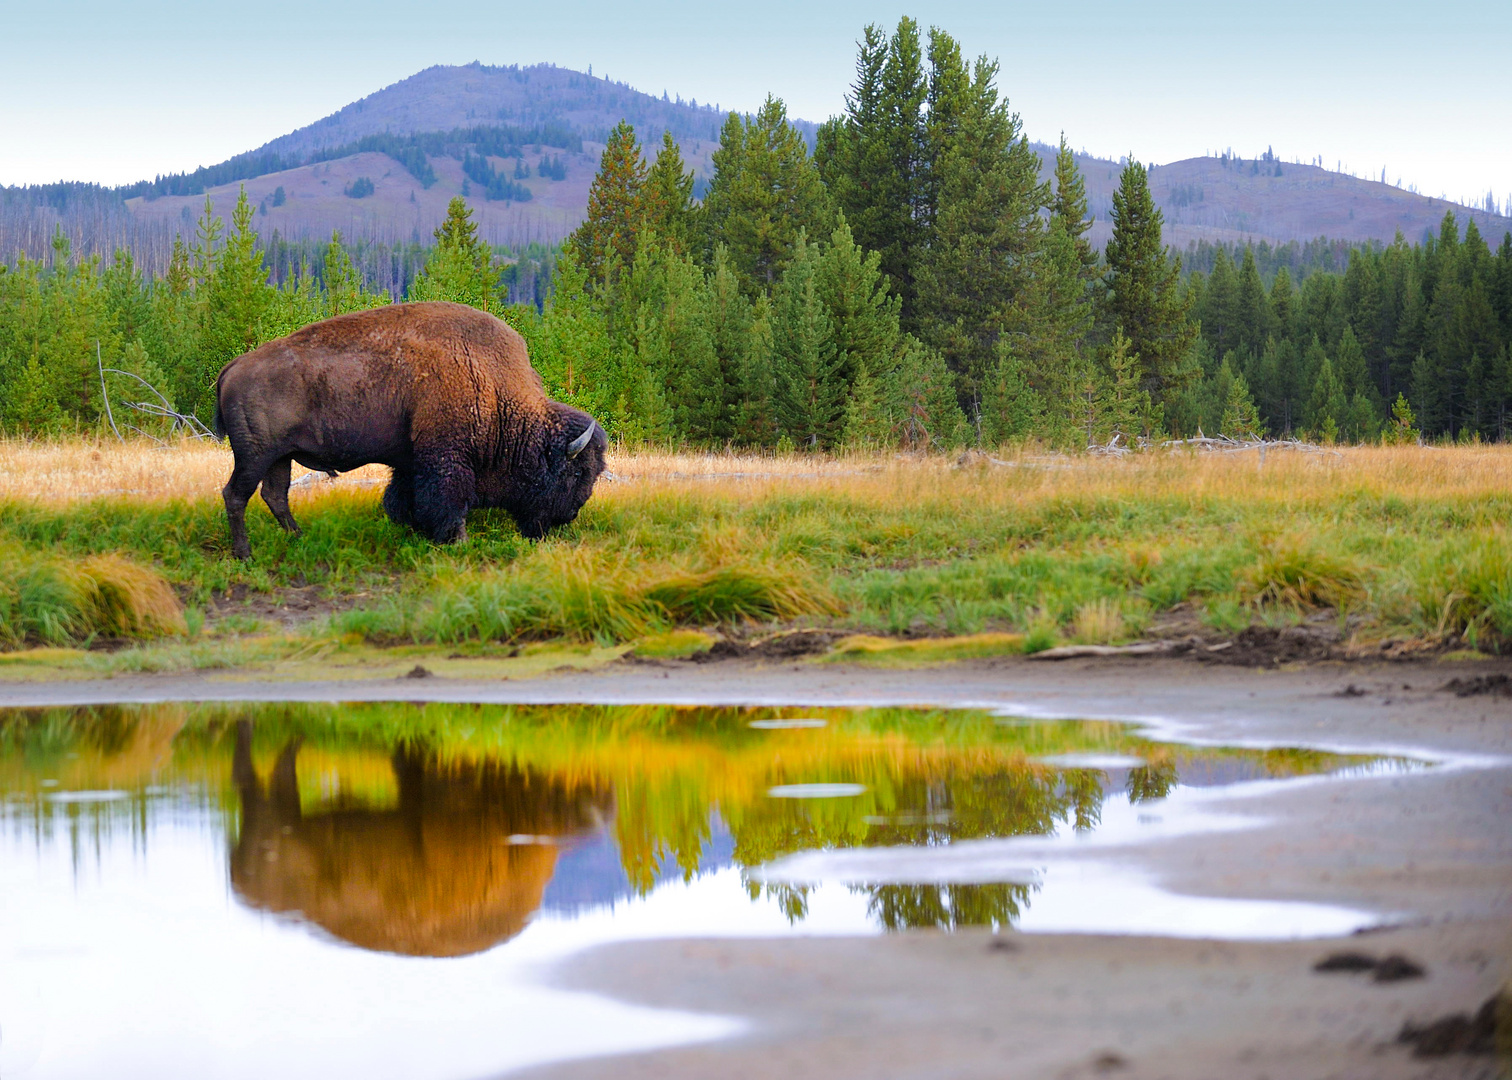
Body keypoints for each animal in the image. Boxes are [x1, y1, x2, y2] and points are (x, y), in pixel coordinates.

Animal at [216, 301, 604, 559]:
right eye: (576, 473)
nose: (569, 515)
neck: (494, 388)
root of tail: (235, 365)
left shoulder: (410, 462)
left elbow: (403, 497)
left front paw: (410, 529)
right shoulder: (446, 458)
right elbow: (448, 501)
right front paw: (457, 541)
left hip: (279, 457)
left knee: (275, 495)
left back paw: (299, 538)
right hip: (254, 455)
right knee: (236, 495)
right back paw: (245, 554)